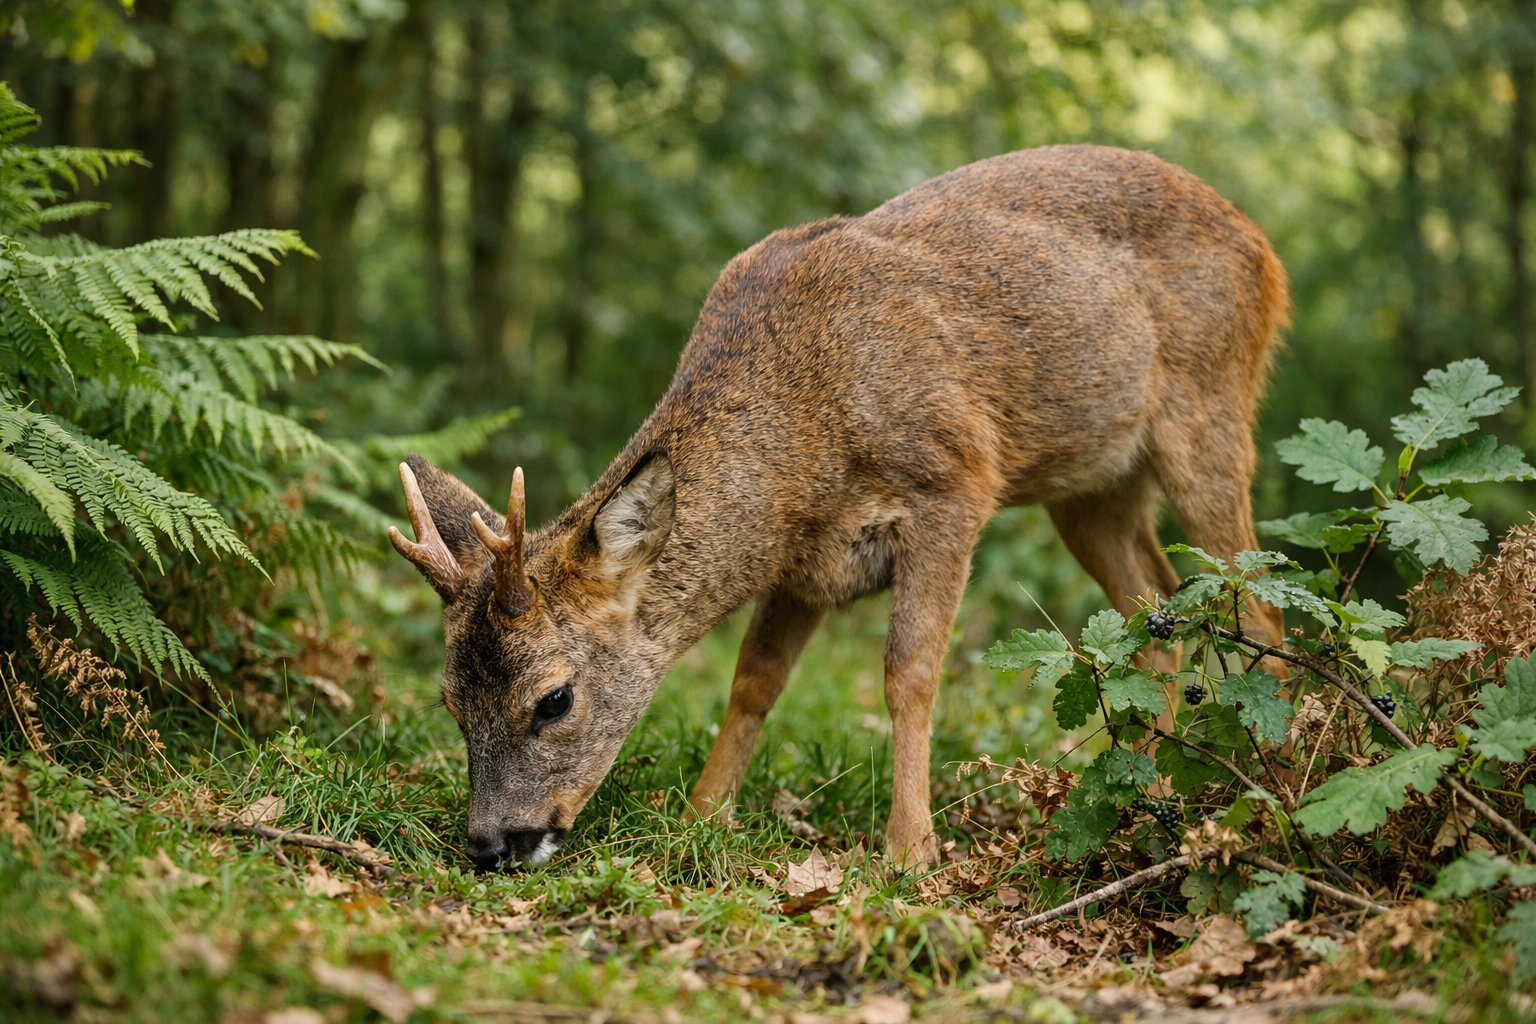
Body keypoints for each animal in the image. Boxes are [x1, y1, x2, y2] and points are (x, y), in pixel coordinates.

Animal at [389, 144, 1289, 871]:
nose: (490, 844)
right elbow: (753, 681)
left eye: (554, 699)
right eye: (450, 700)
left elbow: (908, 672)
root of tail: (1262, 243)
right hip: (1090, 486)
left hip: (1211, 406)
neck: (805, 439)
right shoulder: (802, 561)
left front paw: (909, 852)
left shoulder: (954, 480)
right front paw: (702, 815)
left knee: (1258, 601)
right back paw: (1152, 779)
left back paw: (1280, 770)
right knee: (1158, 608)